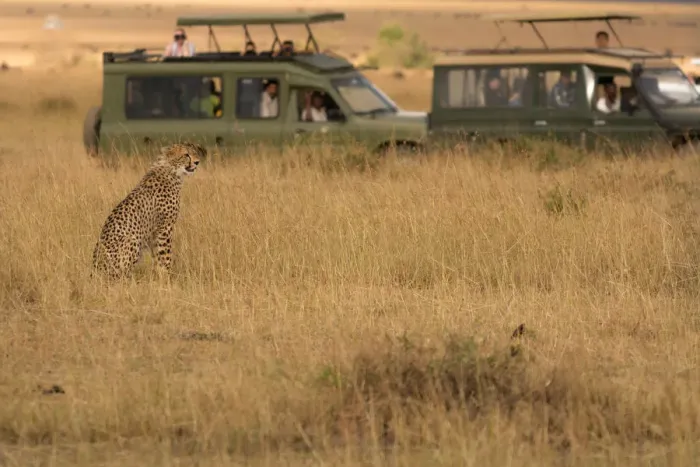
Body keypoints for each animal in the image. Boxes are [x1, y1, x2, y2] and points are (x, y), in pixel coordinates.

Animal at [91, 142, 206, 280]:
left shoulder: (154, 233)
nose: (197, 162)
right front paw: (167, 277)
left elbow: (157, 257)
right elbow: (165, 256)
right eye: (186, 154)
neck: (171, 170)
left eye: (194, 152)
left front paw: (159, 275)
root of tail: (94, 271)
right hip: (133, 240)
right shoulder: (165, 228)